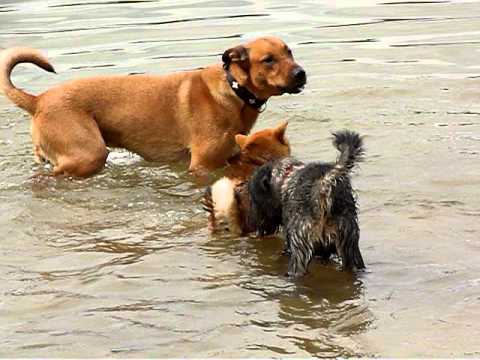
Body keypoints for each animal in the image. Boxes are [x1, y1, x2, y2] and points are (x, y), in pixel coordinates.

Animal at [0, 36, 306, 177]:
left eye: (289, 51)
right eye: (268, 59)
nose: (301, 73)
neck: (234, 90)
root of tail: (38, 99)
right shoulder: (202, 165)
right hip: (88, 153)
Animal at [249, 131, 366, 278]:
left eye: (254, 199)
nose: (255, 227)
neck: (285, 179)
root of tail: (323, 184)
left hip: (300, 248)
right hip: (351, 246)